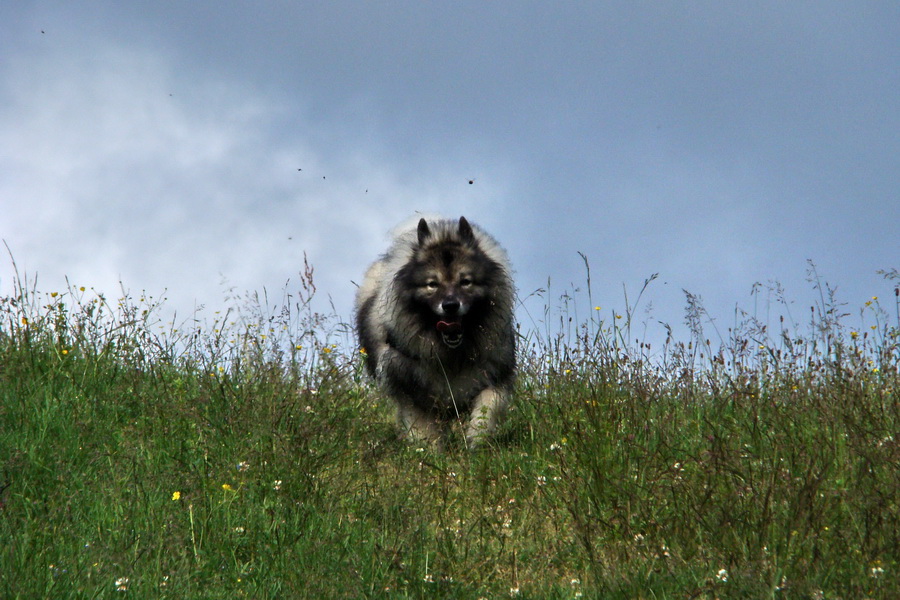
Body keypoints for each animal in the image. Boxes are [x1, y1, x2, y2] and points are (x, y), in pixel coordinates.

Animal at [356, 218, 516, 448]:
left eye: (465, 281)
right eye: (432, 284)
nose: (450, 306)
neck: (451, 356)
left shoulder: (494, 376)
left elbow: (487, 409)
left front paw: (477, 440)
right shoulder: (413, 391)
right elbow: (425, 430)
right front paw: (429, 451)